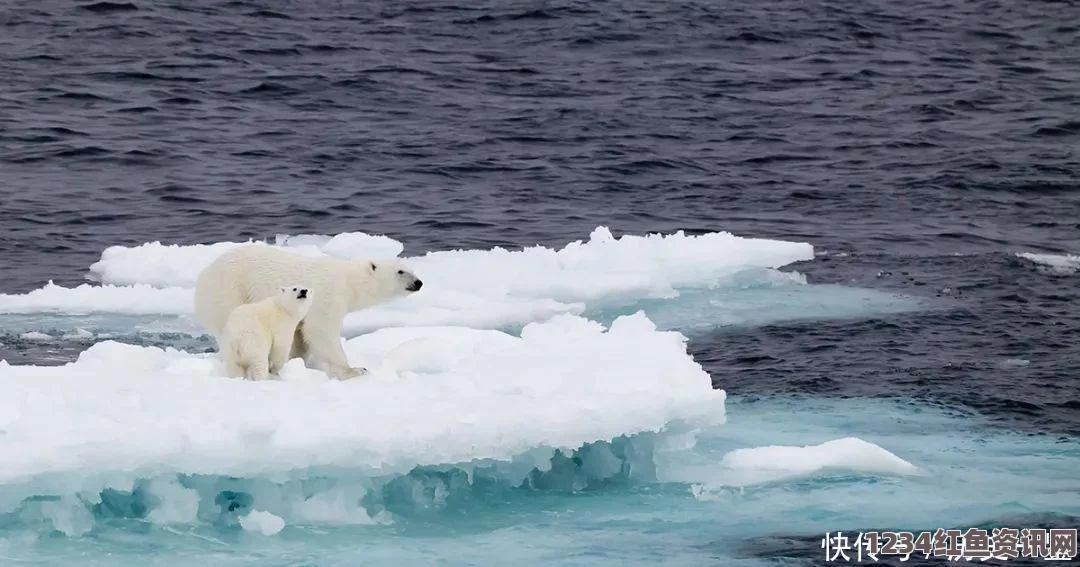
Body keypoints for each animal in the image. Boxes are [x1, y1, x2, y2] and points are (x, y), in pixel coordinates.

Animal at [194, 244, 421, 380]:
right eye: (400, 271)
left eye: (412, 269)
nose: (419, 283)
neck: (349, 282)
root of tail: (204, 274)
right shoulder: (328, 296)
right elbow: (321, 331)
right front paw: (354, 370)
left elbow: (300, 337)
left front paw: (298, 362)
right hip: (229, 290)